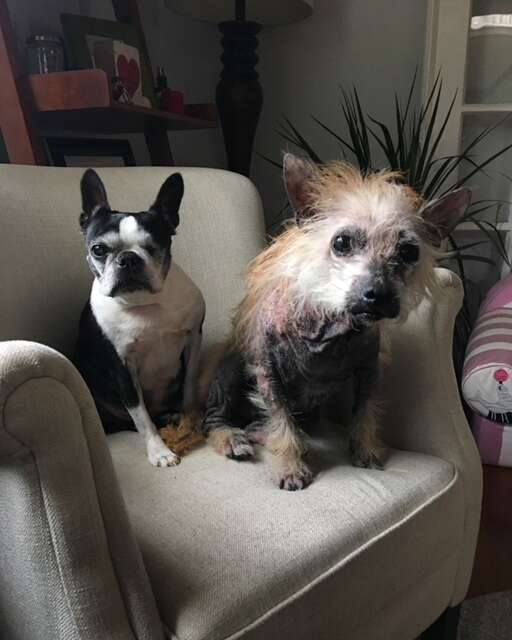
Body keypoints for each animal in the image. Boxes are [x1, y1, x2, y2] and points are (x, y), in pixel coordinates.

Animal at [74, 169, 206, 464]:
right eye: (98, 249)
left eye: (155, 246)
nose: (129, 259)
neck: (145, 303)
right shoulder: (121, 367)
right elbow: (141, 416)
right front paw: (159, 451)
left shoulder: (193, 340)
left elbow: (190, 385)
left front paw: (189, 419)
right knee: (129, 421)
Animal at [202, 154, 470, 490]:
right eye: (341, 242)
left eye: (409, 252)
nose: (379, 295)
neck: (330, 328)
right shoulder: (267, 374)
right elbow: (282, 423)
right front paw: (291, 466)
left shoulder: (369, 372)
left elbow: (364, 413)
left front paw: (365, 450)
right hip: (227, 373)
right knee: (212, 419)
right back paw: (232, 437)